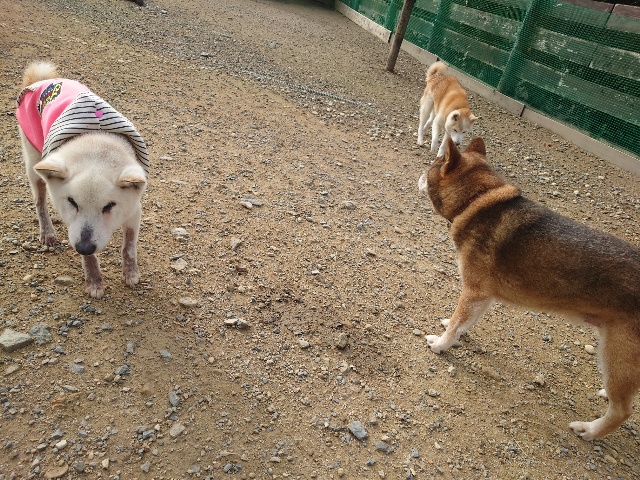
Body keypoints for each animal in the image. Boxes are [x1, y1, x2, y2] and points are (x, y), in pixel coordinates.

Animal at [16, 61, 149, 298]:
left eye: (109, 206)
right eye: (72, 202)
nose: (84, 247)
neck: (96, 143)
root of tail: (42, 81)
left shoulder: (134, 209)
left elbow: (129, 246)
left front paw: (131, 272)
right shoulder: (75, 227)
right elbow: (90, 258)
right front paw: (94, 281)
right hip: (33, 160)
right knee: (40, 202)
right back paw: (47, 233)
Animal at [418, 137, 640, 440]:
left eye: (431, 166)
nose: (418, 175)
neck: (478, 200)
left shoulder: (474, 292)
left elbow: (456, 324)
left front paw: (440, 344)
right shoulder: (483, 296)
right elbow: (463, 323)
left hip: (620, 352)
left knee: (622, 412)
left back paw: (589, 430)